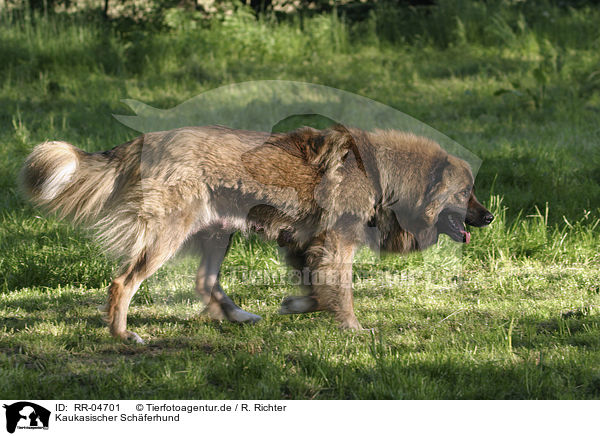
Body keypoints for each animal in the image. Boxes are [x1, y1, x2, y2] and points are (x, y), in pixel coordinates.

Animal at [19, 124, 492, 342]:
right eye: (465, 193)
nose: (488, 218)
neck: (385, 177)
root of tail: (149, 139)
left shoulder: (306, 246)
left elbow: (316, 291)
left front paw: (298, 305)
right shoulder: (336, 245)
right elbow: (341, 293)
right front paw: (355, 329)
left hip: (217, 234)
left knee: (205, 282)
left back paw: (238, 316)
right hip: (168, 234)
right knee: (123, 282)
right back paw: (123, 335)